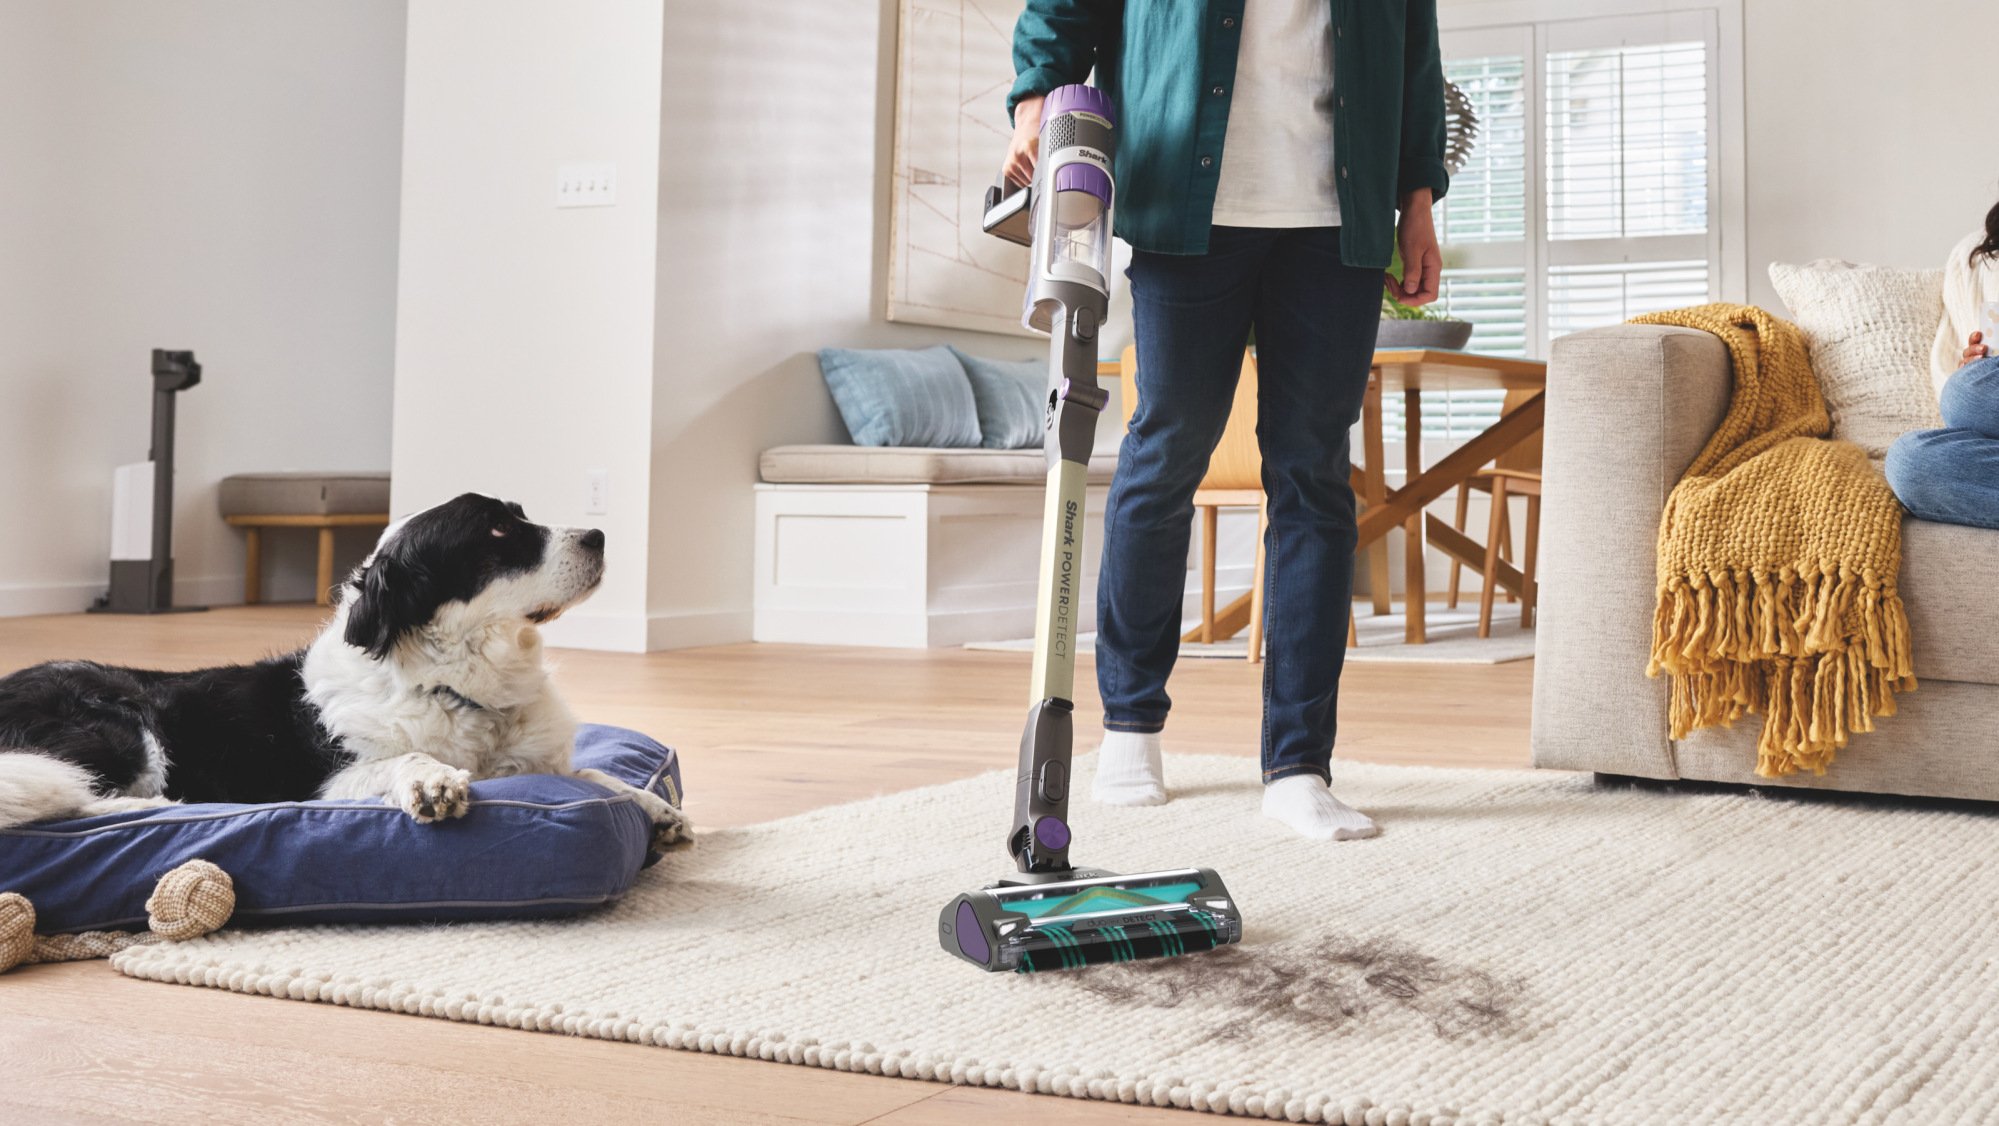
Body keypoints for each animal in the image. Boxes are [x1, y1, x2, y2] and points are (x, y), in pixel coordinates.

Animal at [0, 494, 687, 848]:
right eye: (496, 529)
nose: (599, 535)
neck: (458, 689)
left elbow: (592, 774)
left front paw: (650, 804)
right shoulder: (326, 785)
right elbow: (404, 759)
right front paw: (432, 781)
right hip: (122, 725)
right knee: (74, 800)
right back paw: (158, 808)